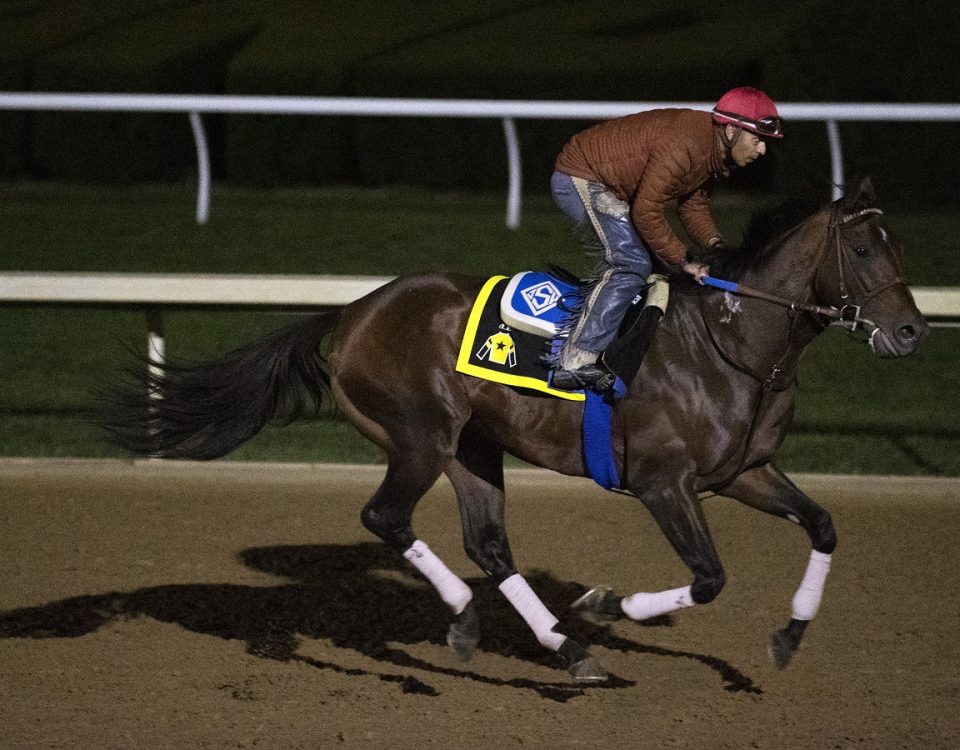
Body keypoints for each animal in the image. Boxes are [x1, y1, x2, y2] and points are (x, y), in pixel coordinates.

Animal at [105, 178, 928, 688]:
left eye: (899, 248)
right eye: (862, 250)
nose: (912, 331)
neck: (732, 345)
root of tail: (353, 311)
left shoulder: (744, 473)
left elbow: (823, 526)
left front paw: (788, 638)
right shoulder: (664, 483)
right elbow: (710, 576)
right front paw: (609, 604)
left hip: (474, 446)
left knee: (489, 544)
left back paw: (562, 650)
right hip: (422, 436)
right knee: (385, 516)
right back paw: (479, 624)